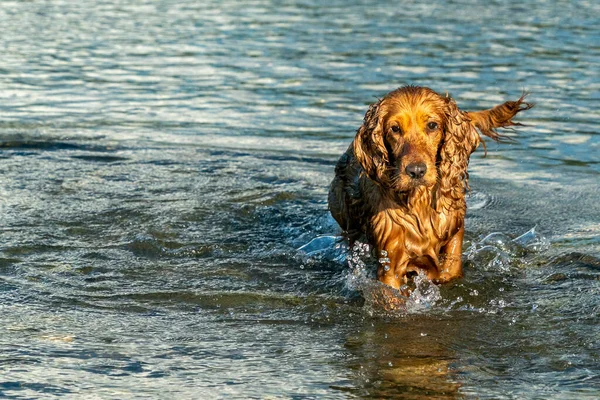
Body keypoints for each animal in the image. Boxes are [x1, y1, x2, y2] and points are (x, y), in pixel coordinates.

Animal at [330, 85, 532, 290]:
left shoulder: (454, 236)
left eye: (432, 125)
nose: (416, 171)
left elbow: (449, 267)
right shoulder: (391, 264)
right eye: (395, 129)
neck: (420, 203)